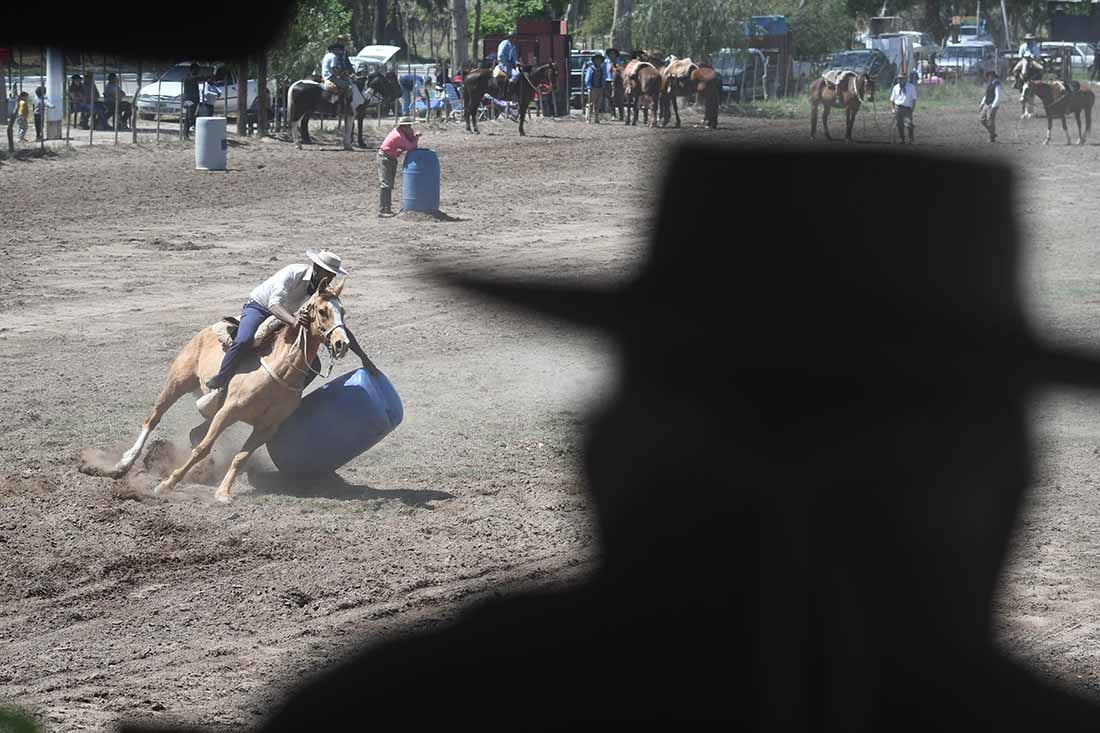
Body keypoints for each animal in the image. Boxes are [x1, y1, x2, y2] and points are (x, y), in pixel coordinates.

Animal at [83, 279, 354, 501]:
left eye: (343, 311)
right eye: (322, 311)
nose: (342, 344)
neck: (280, 370)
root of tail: (205, 331)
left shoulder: (266, 427)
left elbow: (240, 458)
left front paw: (222, 492)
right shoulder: (228, 412)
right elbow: (202, 449)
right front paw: (167, 484)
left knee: (194, 432)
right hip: (177, 384)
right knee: (153, 419)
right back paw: (125, 463)